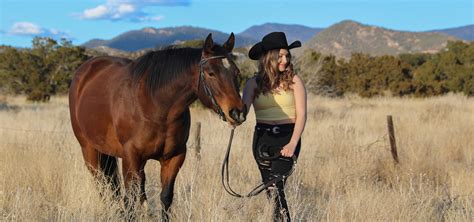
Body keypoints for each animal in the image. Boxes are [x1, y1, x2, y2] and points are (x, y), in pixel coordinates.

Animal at [68, 33, 246, 219]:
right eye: (211, 73)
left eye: (236, 72)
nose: (238, 113)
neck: (155, 105)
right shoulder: (131, 157)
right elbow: (130, 200)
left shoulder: (174, 158)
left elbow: (165, 197)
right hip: (90, 151)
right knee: (103, 185)